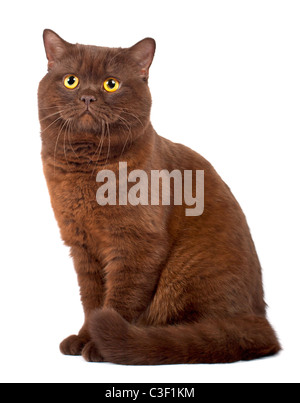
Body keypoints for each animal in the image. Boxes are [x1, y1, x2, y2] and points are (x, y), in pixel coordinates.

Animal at [38, 30, 280, 364]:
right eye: (71, 81)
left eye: (111, 84)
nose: (87, 96)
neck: (87, 170)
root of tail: (259, 320)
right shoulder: (82, 246)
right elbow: (92, 300)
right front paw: (83, 338)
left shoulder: (136, 244)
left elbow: (120, 298)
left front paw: (98, 346)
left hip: (187, 272)